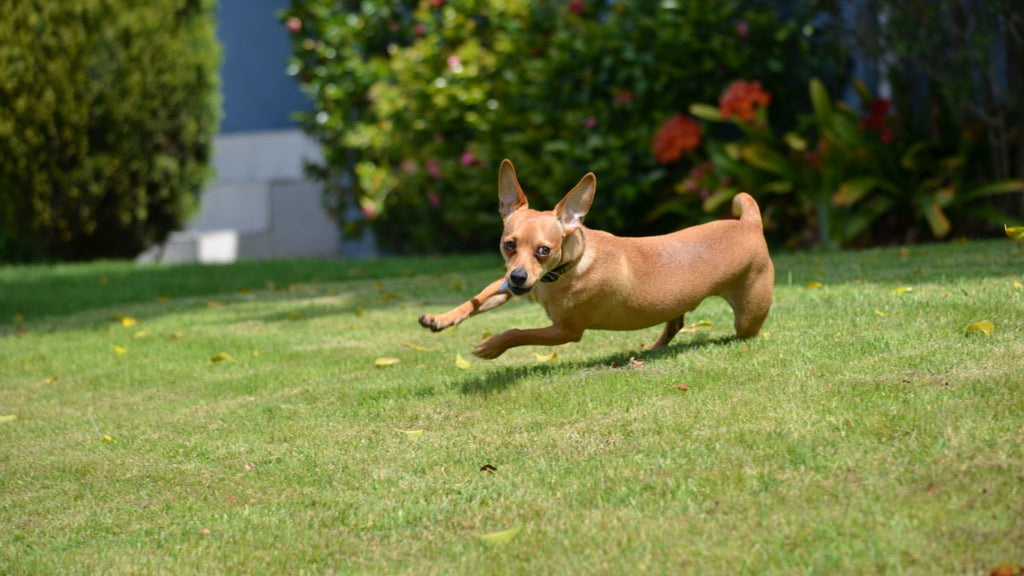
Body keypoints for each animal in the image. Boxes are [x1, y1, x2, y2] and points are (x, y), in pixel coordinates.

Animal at [419, 158, 770, 356]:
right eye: (509, 245)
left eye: (544, 251)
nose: (518, 277)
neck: (565, 271)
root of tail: (750, 222)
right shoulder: (508, 288)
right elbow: (476, 300)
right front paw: (440, 318)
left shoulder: (565, 331)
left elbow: (520, 333)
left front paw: (493, 345)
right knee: (676, 321)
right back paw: (654, 348)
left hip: (748, 318)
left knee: (742, 330)